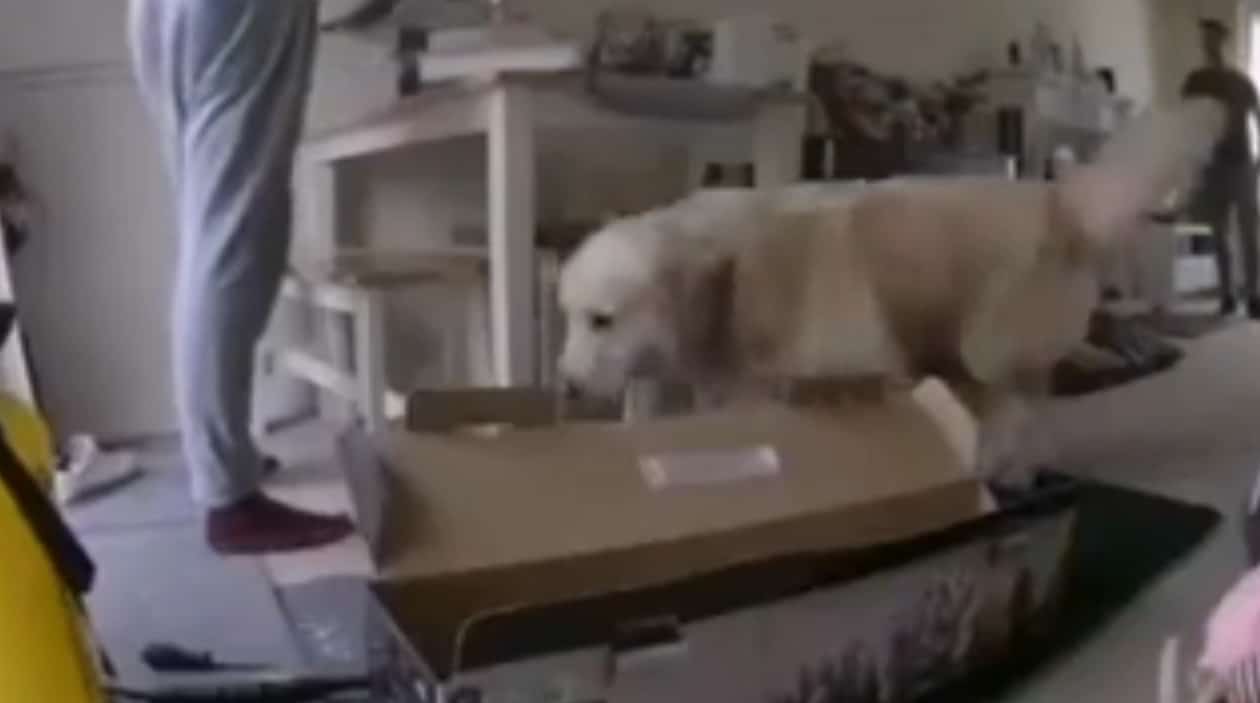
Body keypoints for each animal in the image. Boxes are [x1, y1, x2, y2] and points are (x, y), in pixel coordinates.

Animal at [557, 98, 1226, 480]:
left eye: (602, 319)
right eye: (569, 318)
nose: (564, 388)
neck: (721, 272)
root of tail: (1057, 202)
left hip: (980, 348)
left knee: (1012, 408)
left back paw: (1004, 466)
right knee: (1029, 409)